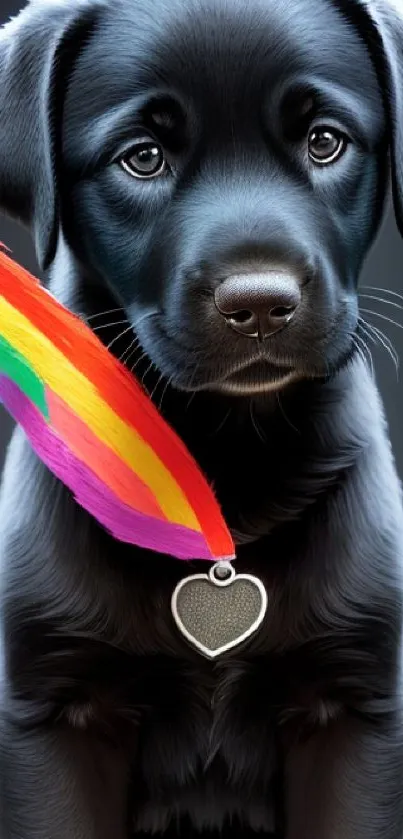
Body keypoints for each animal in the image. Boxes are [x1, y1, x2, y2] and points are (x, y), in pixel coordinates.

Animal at [0, 0, 403, 836]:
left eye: (324, 141)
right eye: (142, 158)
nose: (259, 304)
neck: (226, 457)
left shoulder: (353, 704)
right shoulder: (55, 709)